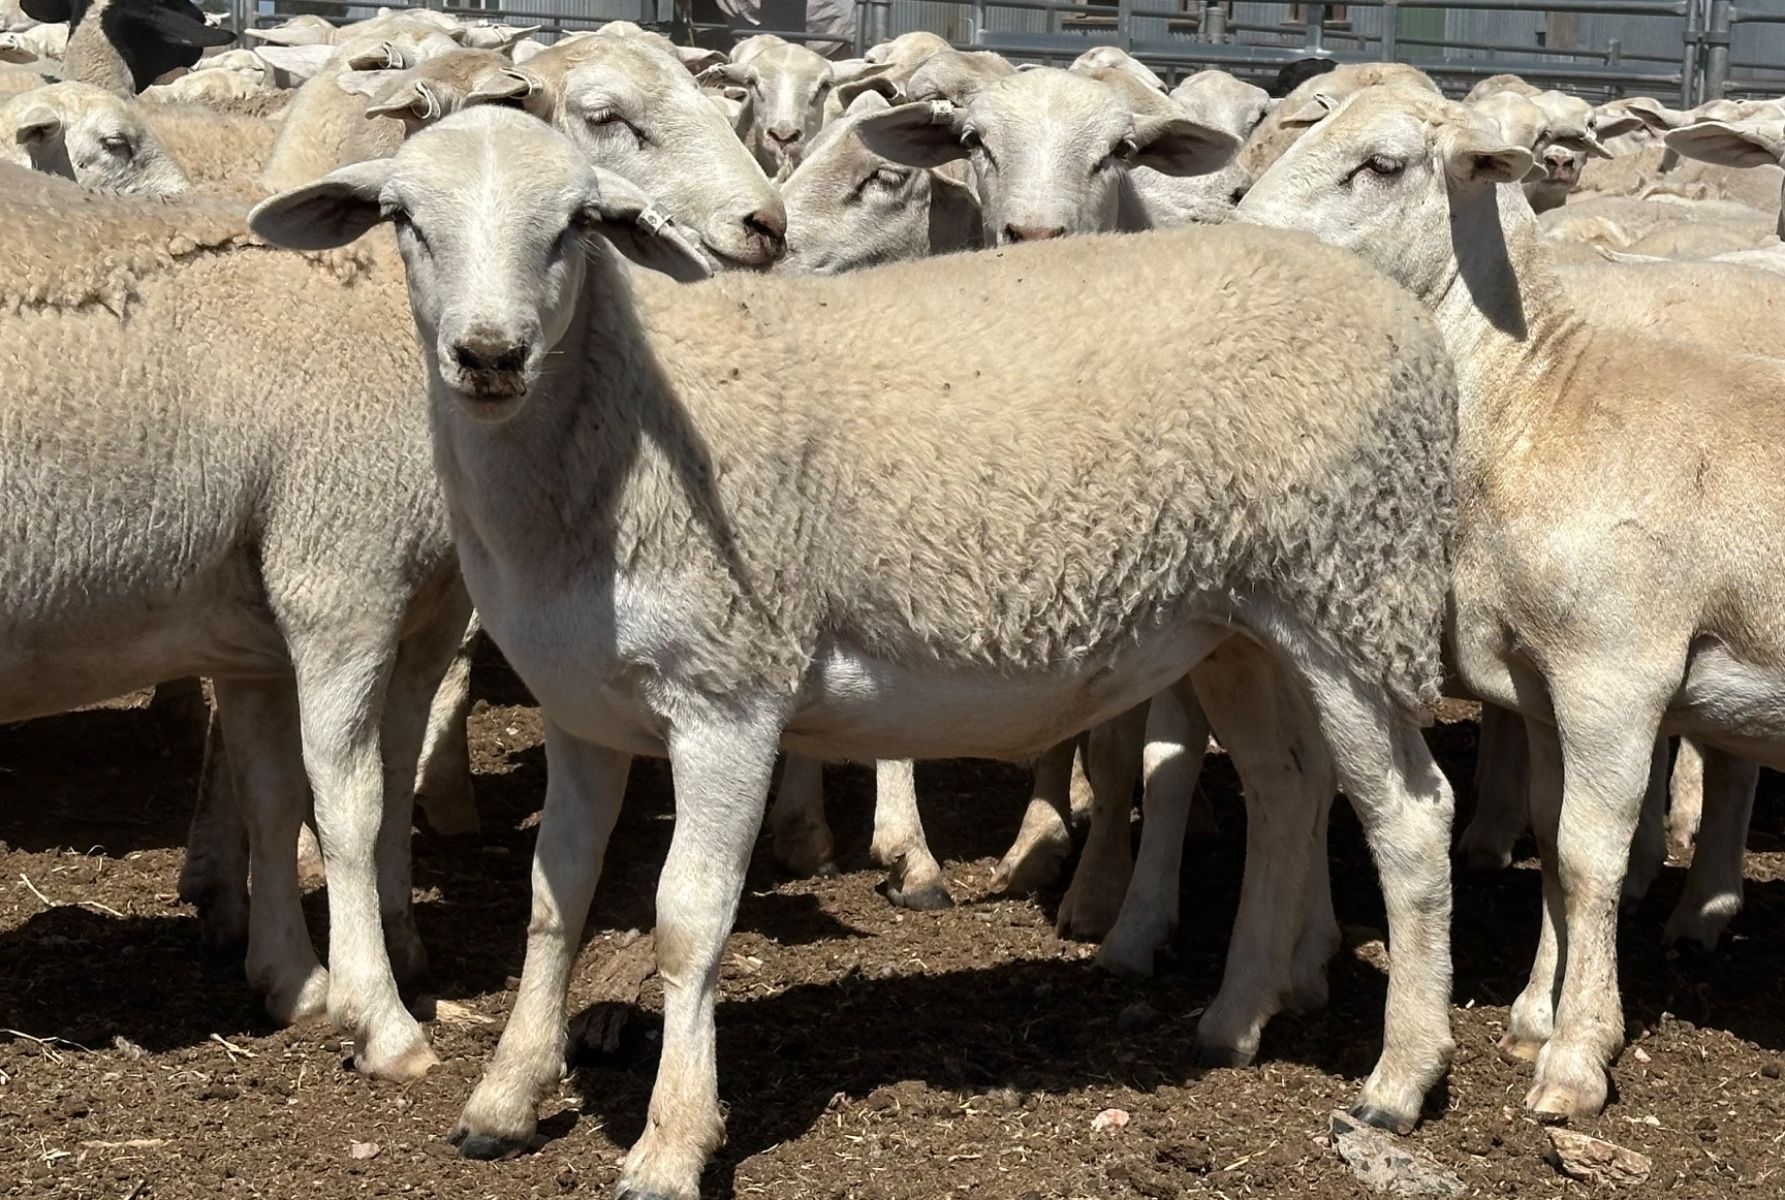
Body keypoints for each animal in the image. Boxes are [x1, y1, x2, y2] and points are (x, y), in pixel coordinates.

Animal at [0, 162, 473, 1082]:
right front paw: (380, 1018)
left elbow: (278, 794)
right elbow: (353, 798)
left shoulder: (282, 634)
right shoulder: (343, 584)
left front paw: (295, 980)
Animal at [253, 105, 1462, 1190]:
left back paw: (1398, 1082)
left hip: (1352, 589)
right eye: (404, 220)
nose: (490, 354)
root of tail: (1406, 321)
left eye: (575, 228)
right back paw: (1236, 1017)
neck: (608, 421)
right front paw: (503, 1101)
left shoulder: (730, 692)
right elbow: (556, 901)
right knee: (1287, 787)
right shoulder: (580, 702)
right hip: (1245, 620)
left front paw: (670, 1143)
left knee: (1410, 817)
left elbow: (688, 920)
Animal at [1238, 83, 1785, 1123]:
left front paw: (1575, 1057)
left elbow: (1588, 856)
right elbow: (1546, 835)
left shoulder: (1616, 675)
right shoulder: (1539, 682)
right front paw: (1535, 1011)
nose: (1237, 243)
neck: (1537, 403)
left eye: (1381, 164)